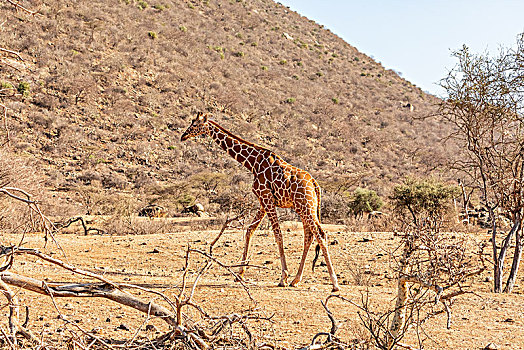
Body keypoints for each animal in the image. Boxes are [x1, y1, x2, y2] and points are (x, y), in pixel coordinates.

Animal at [182, 113, 342, 292]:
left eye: (195, 125)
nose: (183, 136)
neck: (253, 163)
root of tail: (315, 184)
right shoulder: (263, 202)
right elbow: (250, 230)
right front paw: (240, 274)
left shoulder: (266, 198)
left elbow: (278, 234)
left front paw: (283, 277)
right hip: (305, 208)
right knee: (309, 236)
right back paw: (296, 279)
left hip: (306, 207)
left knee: (320, 234)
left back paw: (334, 283)